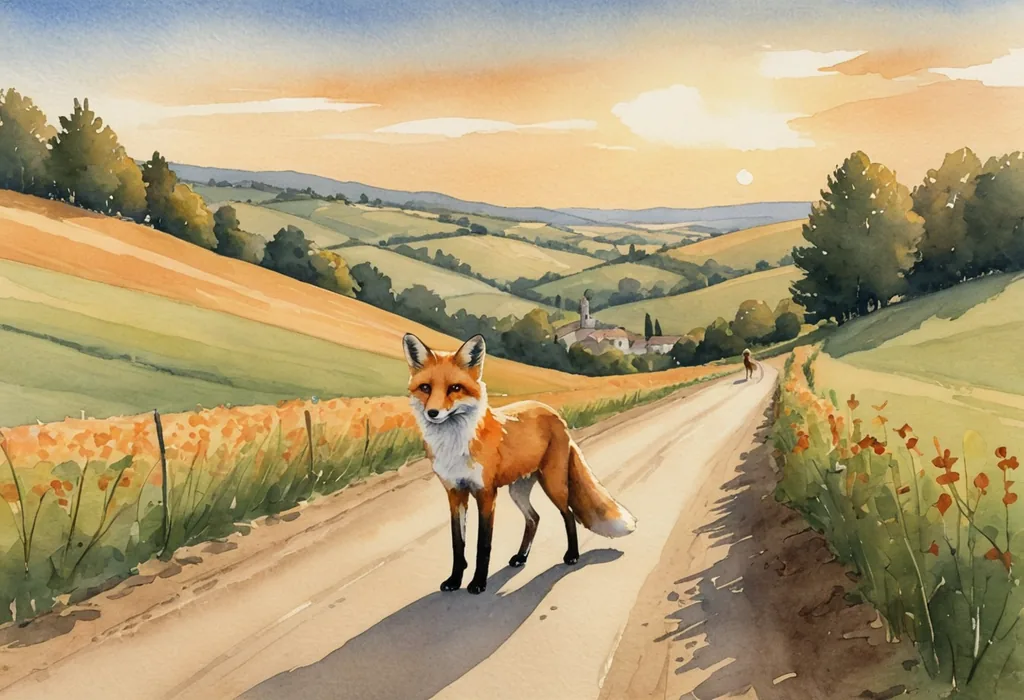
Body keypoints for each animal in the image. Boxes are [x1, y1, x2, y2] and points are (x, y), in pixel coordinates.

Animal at [402, 332, 637, 595]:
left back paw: (572, 555)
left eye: (455, 388)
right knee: (534, 518)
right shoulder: (455, 493)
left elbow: (483, 545)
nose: (432, 413)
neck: (455, 446)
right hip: (518, 490)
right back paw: (521, 557)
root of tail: (554, 413)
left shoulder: (486, 493)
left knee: (568, 514)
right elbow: (458, 543)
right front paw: (454, 580)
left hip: (553, 484)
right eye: (425, 387)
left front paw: (478, 583)